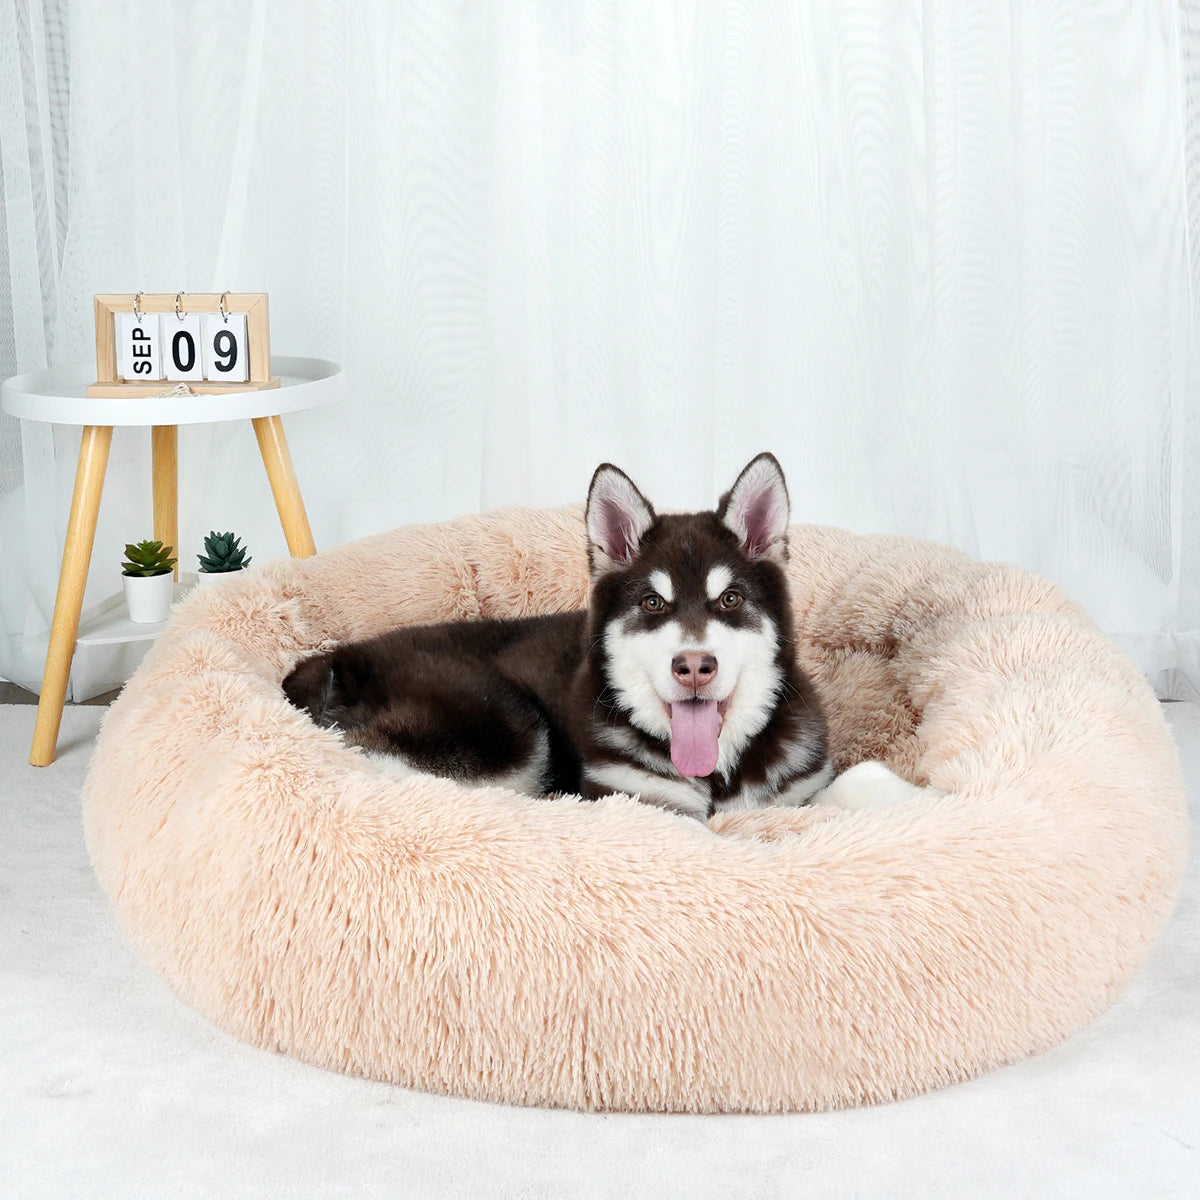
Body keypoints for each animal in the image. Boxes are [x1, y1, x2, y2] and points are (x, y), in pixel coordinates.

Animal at [280, 453, 912, 820]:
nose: (694, 665)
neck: (716, 773)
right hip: (501, 719)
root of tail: (335, 656)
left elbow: (856, 782)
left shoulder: (796, 790)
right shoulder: (643, 803)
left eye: (729, 600)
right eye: (653, 604)